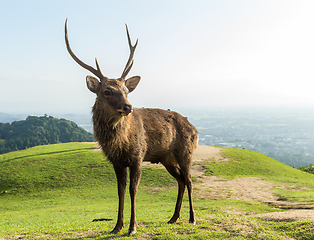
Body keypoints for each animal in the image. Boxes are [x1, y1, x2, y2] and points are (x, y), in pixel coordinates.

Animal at [64, 19, 199, 236]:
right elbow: (120, 191)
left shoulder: (138, 156)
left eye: (127, 90)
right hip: (166, 158)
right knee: (180, 180)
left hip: (186, 151)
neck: (120, 143)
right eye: (107, 91)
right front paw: (116, 226)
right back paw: (173, 217)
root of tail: (194, 128)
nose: (128, 106)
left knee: (189, 181)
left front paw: (132, 227)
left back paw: (192, 218)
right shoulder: (116, 162)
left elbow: (133, 190)